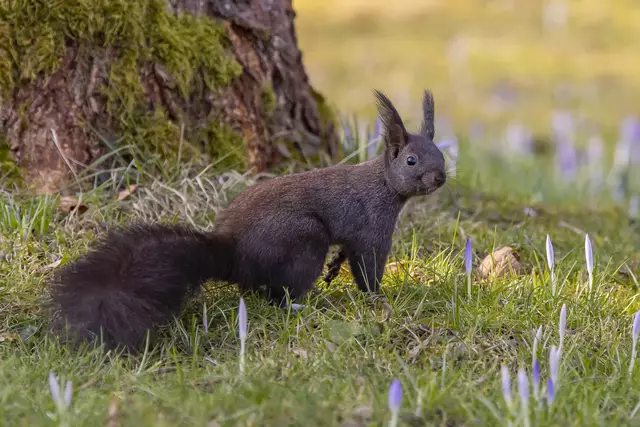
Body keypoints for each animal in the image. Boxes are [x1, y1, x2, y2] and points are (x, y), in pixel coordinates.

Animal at [47, 89, 447, 351]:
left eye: (441, 154)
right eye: (411, 160)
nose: (440, 178)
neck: (383, 185)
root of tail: (234, 252)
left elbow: (348, 253)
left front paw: (337, 267)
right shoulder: (371, 228)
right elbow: (368, 268)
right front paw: (379, 300)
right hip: (304, 240)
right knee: (278, 296)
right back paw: (303, 304)